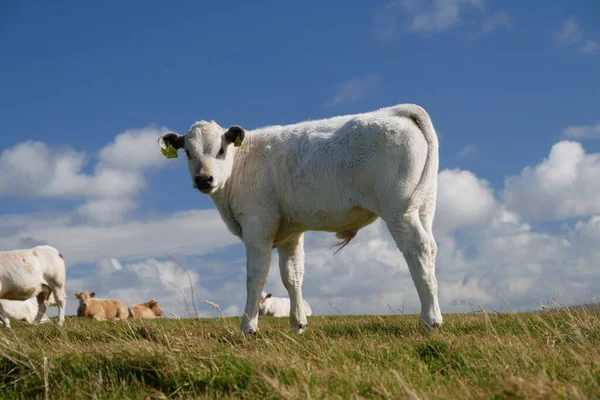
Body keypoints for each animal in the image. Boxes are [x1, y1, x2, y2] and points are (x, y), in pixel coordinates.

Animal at [157, 102, 442, 334]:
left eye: (220, 150)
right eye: (188, 152)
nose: (204, 179)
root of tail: (395, 111)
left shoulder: (257, 224)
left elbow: (256, 275)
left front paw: (248, 326)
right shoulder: (290, 233)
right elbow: (292, 276)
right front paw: (298, 324)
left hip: (398, 209)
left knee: (417, 249)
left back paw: (430, 319)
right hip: (424, 206)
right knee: (431, 248)